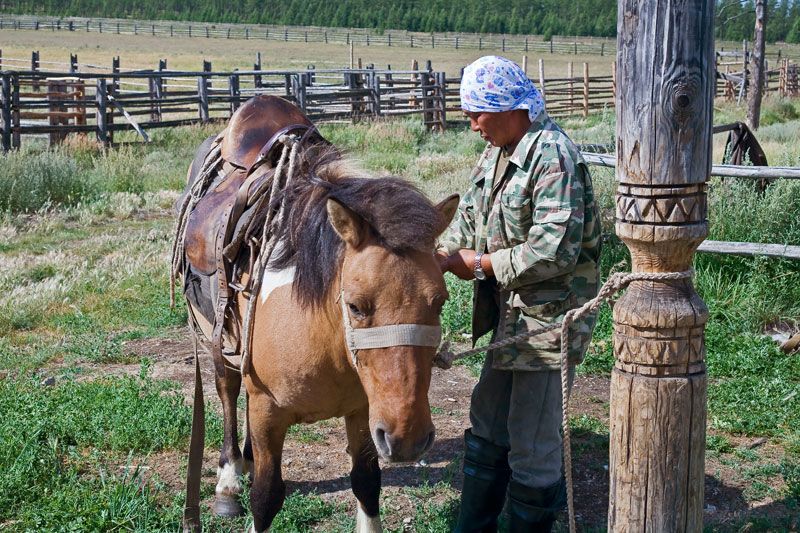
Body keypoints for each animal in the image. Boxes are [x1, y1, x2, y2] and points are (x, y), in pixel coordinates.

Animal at [172, 96, 460, 532]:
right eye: (356, 305)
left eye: (439, 301)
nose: (407, 439)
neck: (322, 334)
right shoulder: (268, 410)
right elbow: (265, 497)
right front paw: (242, 485)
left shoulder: (363, 412)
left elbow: (366, 483)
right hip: (217, 343)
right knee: (227, 393)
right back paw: (229, 478)